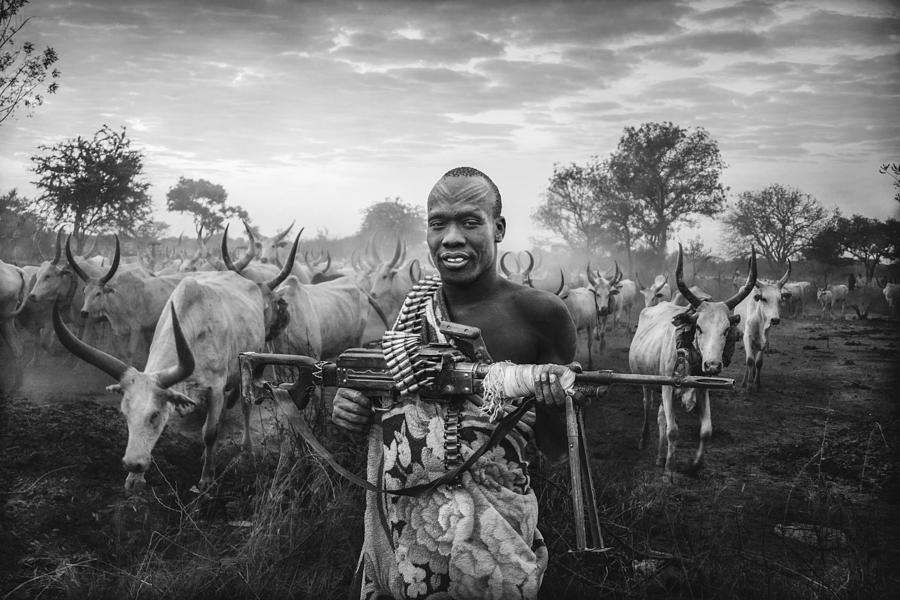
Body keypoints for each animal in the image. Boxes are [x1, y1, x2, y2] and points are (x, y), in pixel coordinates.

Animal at [55, 232, 302, 490]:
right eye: (125, 414)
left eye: (154, 415)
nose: (132, 464)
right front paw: (135, 479)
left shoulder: (215, 387)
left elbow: (210, 433)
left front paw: (206, 479)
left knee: (244, 406)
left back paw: (246, 449)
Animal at [628, 244, 756, 478]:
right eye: (699, 327)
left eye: (726, 330)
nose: (713, 365)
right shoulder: (668, 388)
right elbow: (673, 431)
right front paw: (669, 471)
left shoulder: (703, 389)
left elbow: (706, 430)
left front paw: (695, 464)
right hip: (645, 381)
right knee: (647, 407)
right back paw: (644, 440)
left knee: (660, 416)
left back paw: (659, 456)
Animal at [740, 262, 788, 392]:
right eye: (764, 299)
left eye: (780, 300)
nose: (775, 320)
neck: (759, 320)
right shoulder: (747, 337)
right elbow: (749, 360)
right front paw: (749, 385)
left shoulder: (765, 339)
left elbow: (758, 362)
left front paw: (757, 383)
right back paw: (745, 380)